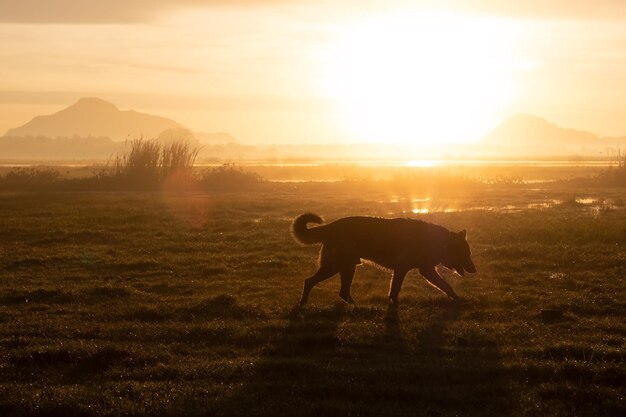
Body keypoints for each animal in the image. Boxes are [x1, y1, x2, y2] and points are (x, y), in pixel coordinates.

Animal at [290, 213, 476, 304]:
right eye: (466, 254)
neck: (439, 242)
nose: (474, 270)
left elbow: (395, 291)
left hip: (347, 267)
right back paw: (302, 302)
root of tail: (330, 227)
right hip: (333, 266)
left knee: (343, 293)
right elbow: (445, 285)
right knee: (309, 281)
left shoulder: (411, 270)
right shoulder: (414, 270)